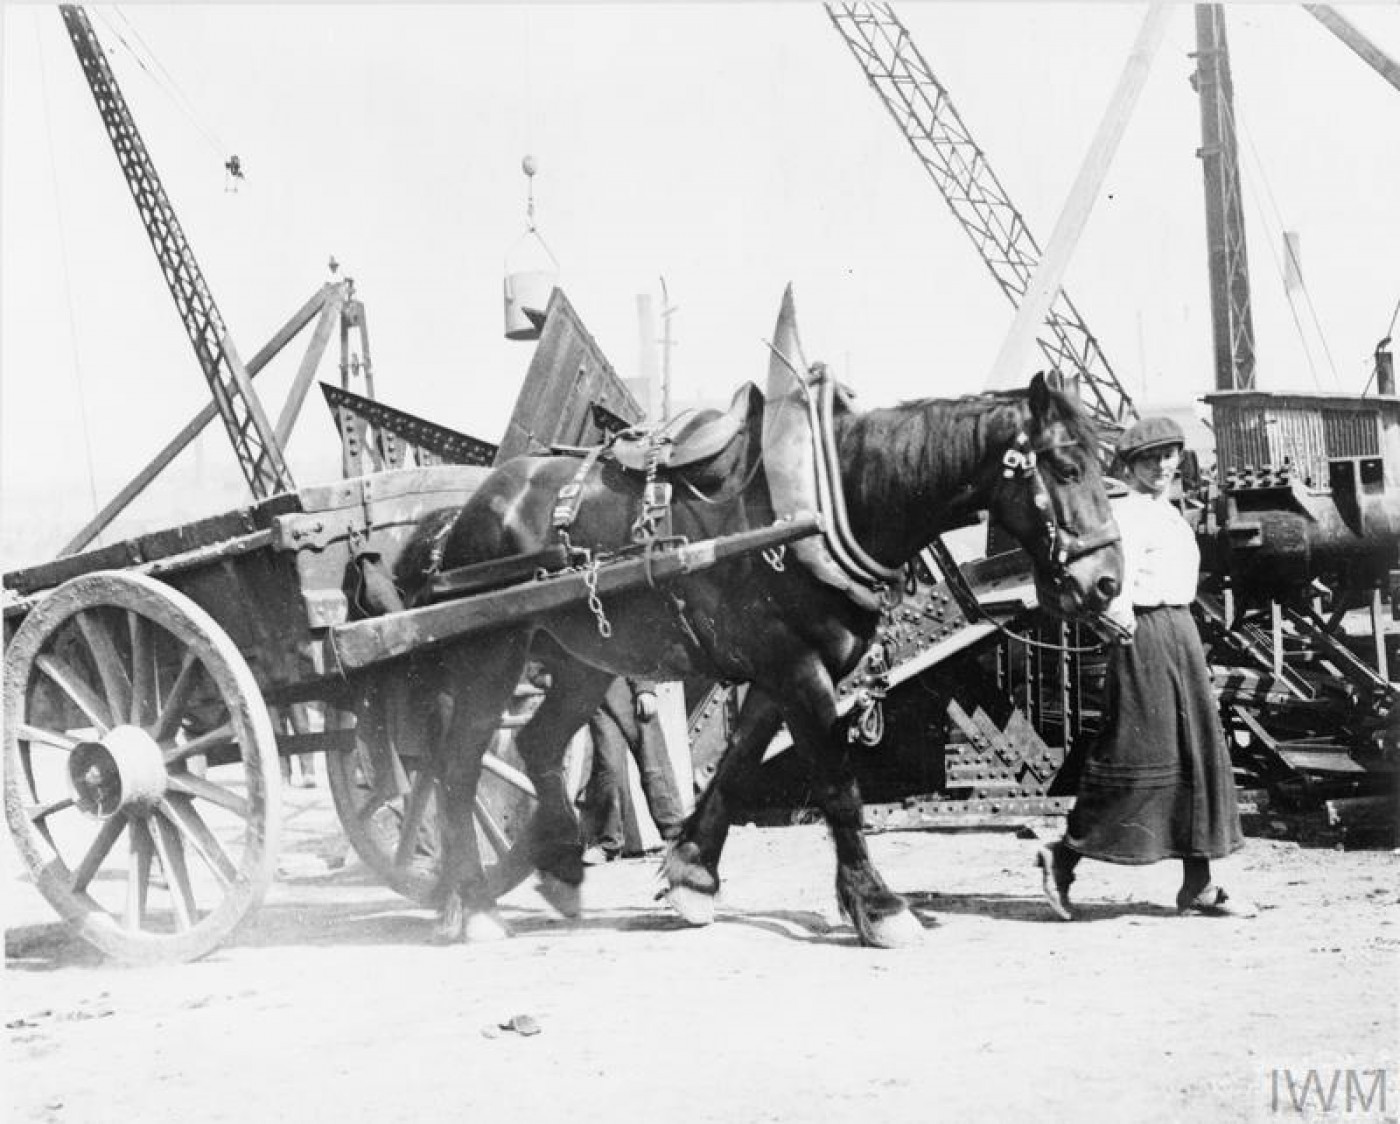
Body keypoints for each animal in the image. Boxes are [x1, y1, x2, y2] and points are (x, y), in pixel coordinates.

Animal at [400, 363, 1120, 951]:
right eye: (1065, 467)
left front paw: (692, 873)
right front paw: (879, 905)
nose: (1107, 583)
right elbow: (837, 784)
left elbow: (738, 766)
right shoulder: (795, 668)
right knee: (458, 765)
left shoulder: (779, 675)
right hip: (493, 654)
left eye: (1102, 461)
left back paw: (554, 865)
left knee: (538, 745)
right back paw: (471, 901)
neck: (828, 504)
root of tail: (466, 510)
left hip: (582, 659)